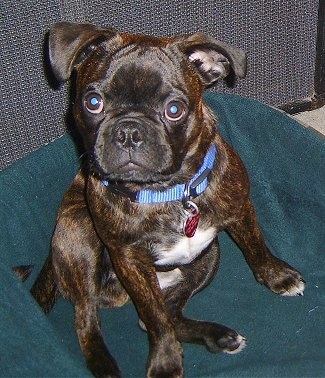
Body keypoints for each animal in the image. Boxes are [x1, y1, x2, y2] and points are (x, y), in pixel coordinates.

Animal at [30, 22, 304, 376]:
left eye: (174, 110)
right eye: (92, 102)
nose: (129, 131)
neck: (167, 191)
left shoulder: (240, 209)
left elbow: (256, 247)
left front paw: (276, 276)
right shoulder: (129, 261)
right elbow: (156, 319)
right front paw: (165, 361)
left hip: (207, 258)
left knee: (167, 315)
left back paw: (220, 337)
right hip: (82, 237)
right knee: (88, 319)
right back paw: (105, 364)